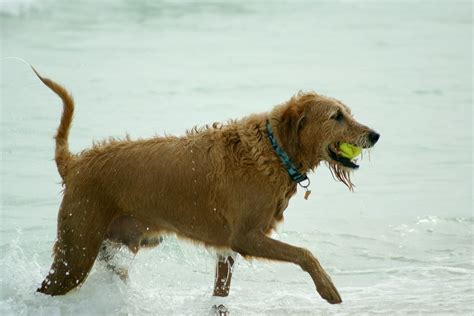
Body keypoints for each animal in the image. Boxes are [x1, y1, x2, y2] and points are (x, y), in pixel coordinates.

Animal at [33, 68, 380, 304]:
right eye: (336, 116)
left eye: (347, 113)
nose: (375, 135)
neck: (273, 151)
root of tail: (75, 163)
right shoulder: (246, 237)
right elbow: (305, 253)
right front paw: (328, 288)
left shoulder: (228, 249)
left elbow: (221, 291)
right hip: (77, 250)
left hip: (112, 245)